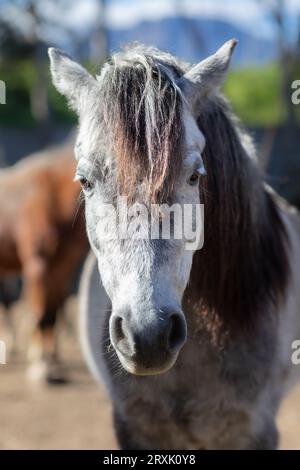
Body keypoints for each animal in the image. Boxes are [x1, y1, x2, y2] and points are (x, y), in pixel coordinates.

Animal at [0, 137, 88, 382]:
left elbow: (52, 314)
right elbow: (41, 314)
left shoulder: (62, 268)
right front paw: (41, 365)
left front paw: (53, 361)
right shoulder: (39, 265)